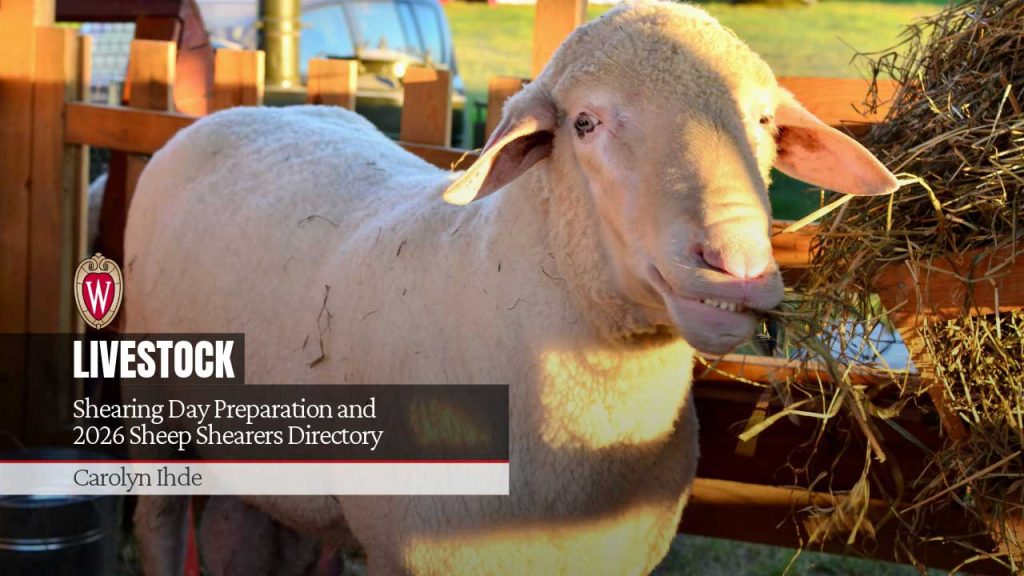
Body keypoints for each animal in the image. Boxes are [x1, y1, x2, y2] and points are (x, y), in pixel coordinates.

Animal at [125, 1, 897, 574]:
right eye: (584, 123)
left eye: (764, 121)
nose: (735, 263)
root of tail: (251, 111)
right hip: (155, 411)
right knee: (160, 524)